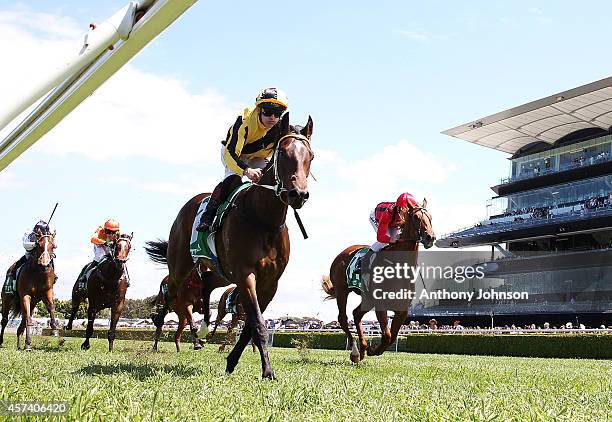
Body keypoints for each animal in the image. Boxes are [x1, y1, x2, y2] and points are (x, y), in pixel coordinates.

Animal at [146, 113, 314, 380]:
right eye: (282, 153)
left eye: (311, 155)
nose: (298, 194)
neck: (263, 219)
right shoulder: (245, 274)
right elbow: (257, 323)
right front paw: (268, 372)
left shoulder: (270, 282)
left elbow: (250, 325)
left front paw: (232, 361)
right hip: (181, 264)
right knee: (171, 291)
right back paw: (159, 328)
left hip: (221, 271)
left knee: (206, 284)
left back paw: (203, 329)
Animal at [320, 201, 436, 362]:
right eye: (416, 217)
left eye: (430, 217)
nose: (430, 237)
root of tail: (342, 254)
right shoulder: (381, 304)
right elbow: (387, 335)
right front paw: (373, 350)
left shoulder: (402, 309)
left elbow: (392, 337)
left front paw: (371, 349)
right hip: (343, 291)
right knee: (343, 318)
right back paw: (355, 352)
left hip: (367, 298)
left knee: (356, 314)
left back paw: (362, 348)